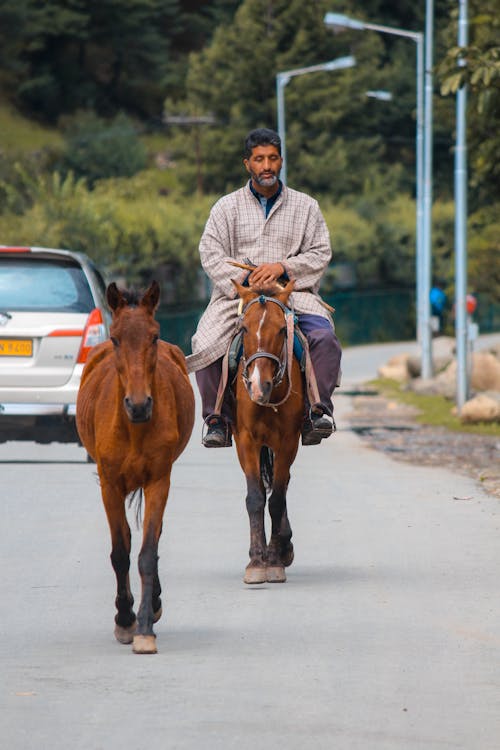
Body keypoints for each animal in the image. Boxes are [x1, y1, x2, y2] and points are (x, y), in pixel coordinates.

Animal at [77, 280, 194, 652]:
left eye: (154, 336)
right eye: (115, 339)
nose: (139, 405)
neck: (133, 427)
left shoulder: (159, 480)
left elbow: (147, 552)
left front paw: (143, 626)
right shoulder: (109, 484)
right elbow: (120, 551)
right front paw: (125, 620)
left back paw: (153, 605)